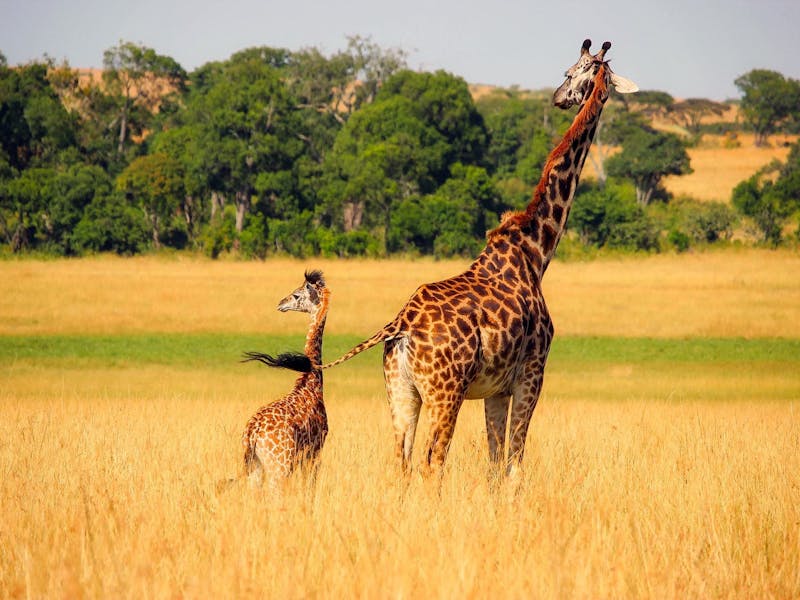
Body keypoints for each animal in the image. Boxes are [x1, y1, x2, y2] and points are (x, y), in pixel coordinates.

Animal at [238, 270, 330, 492]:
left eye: (296, 295)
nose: (281, 303)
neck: (311, 382)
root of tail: (252, 433)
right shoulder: (315, 450)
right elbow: (310, 487)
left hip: (256, 468)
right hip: (279, 467)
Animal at [313, 40, 636, 478]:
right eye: (572, 71)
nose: (559, 97)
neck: (536, 251)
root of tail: (400, 326)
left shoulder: (495, 389)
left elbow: (494, 463)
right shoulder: (532, 372)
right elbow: (514, 461)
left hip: (401, 390)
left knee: (402, 460)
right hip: (445, 391)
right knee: (433, 460)